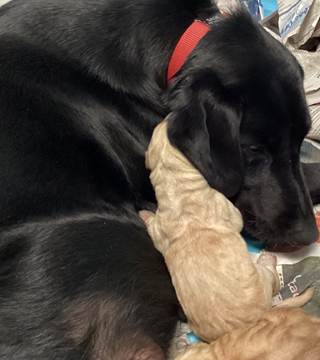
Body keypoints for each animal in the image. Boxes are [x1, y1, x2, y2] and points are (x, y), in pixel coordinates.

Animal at [139, 119, 310, 344]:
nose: (169, 117)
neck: (176, 184)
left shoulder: (160, 226)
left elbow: (153, 225)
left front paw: (143, 212)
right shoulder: (227, 208)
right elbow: (237, 219)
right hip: (264, 281)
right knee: (271, 275)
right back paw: (268, 259)